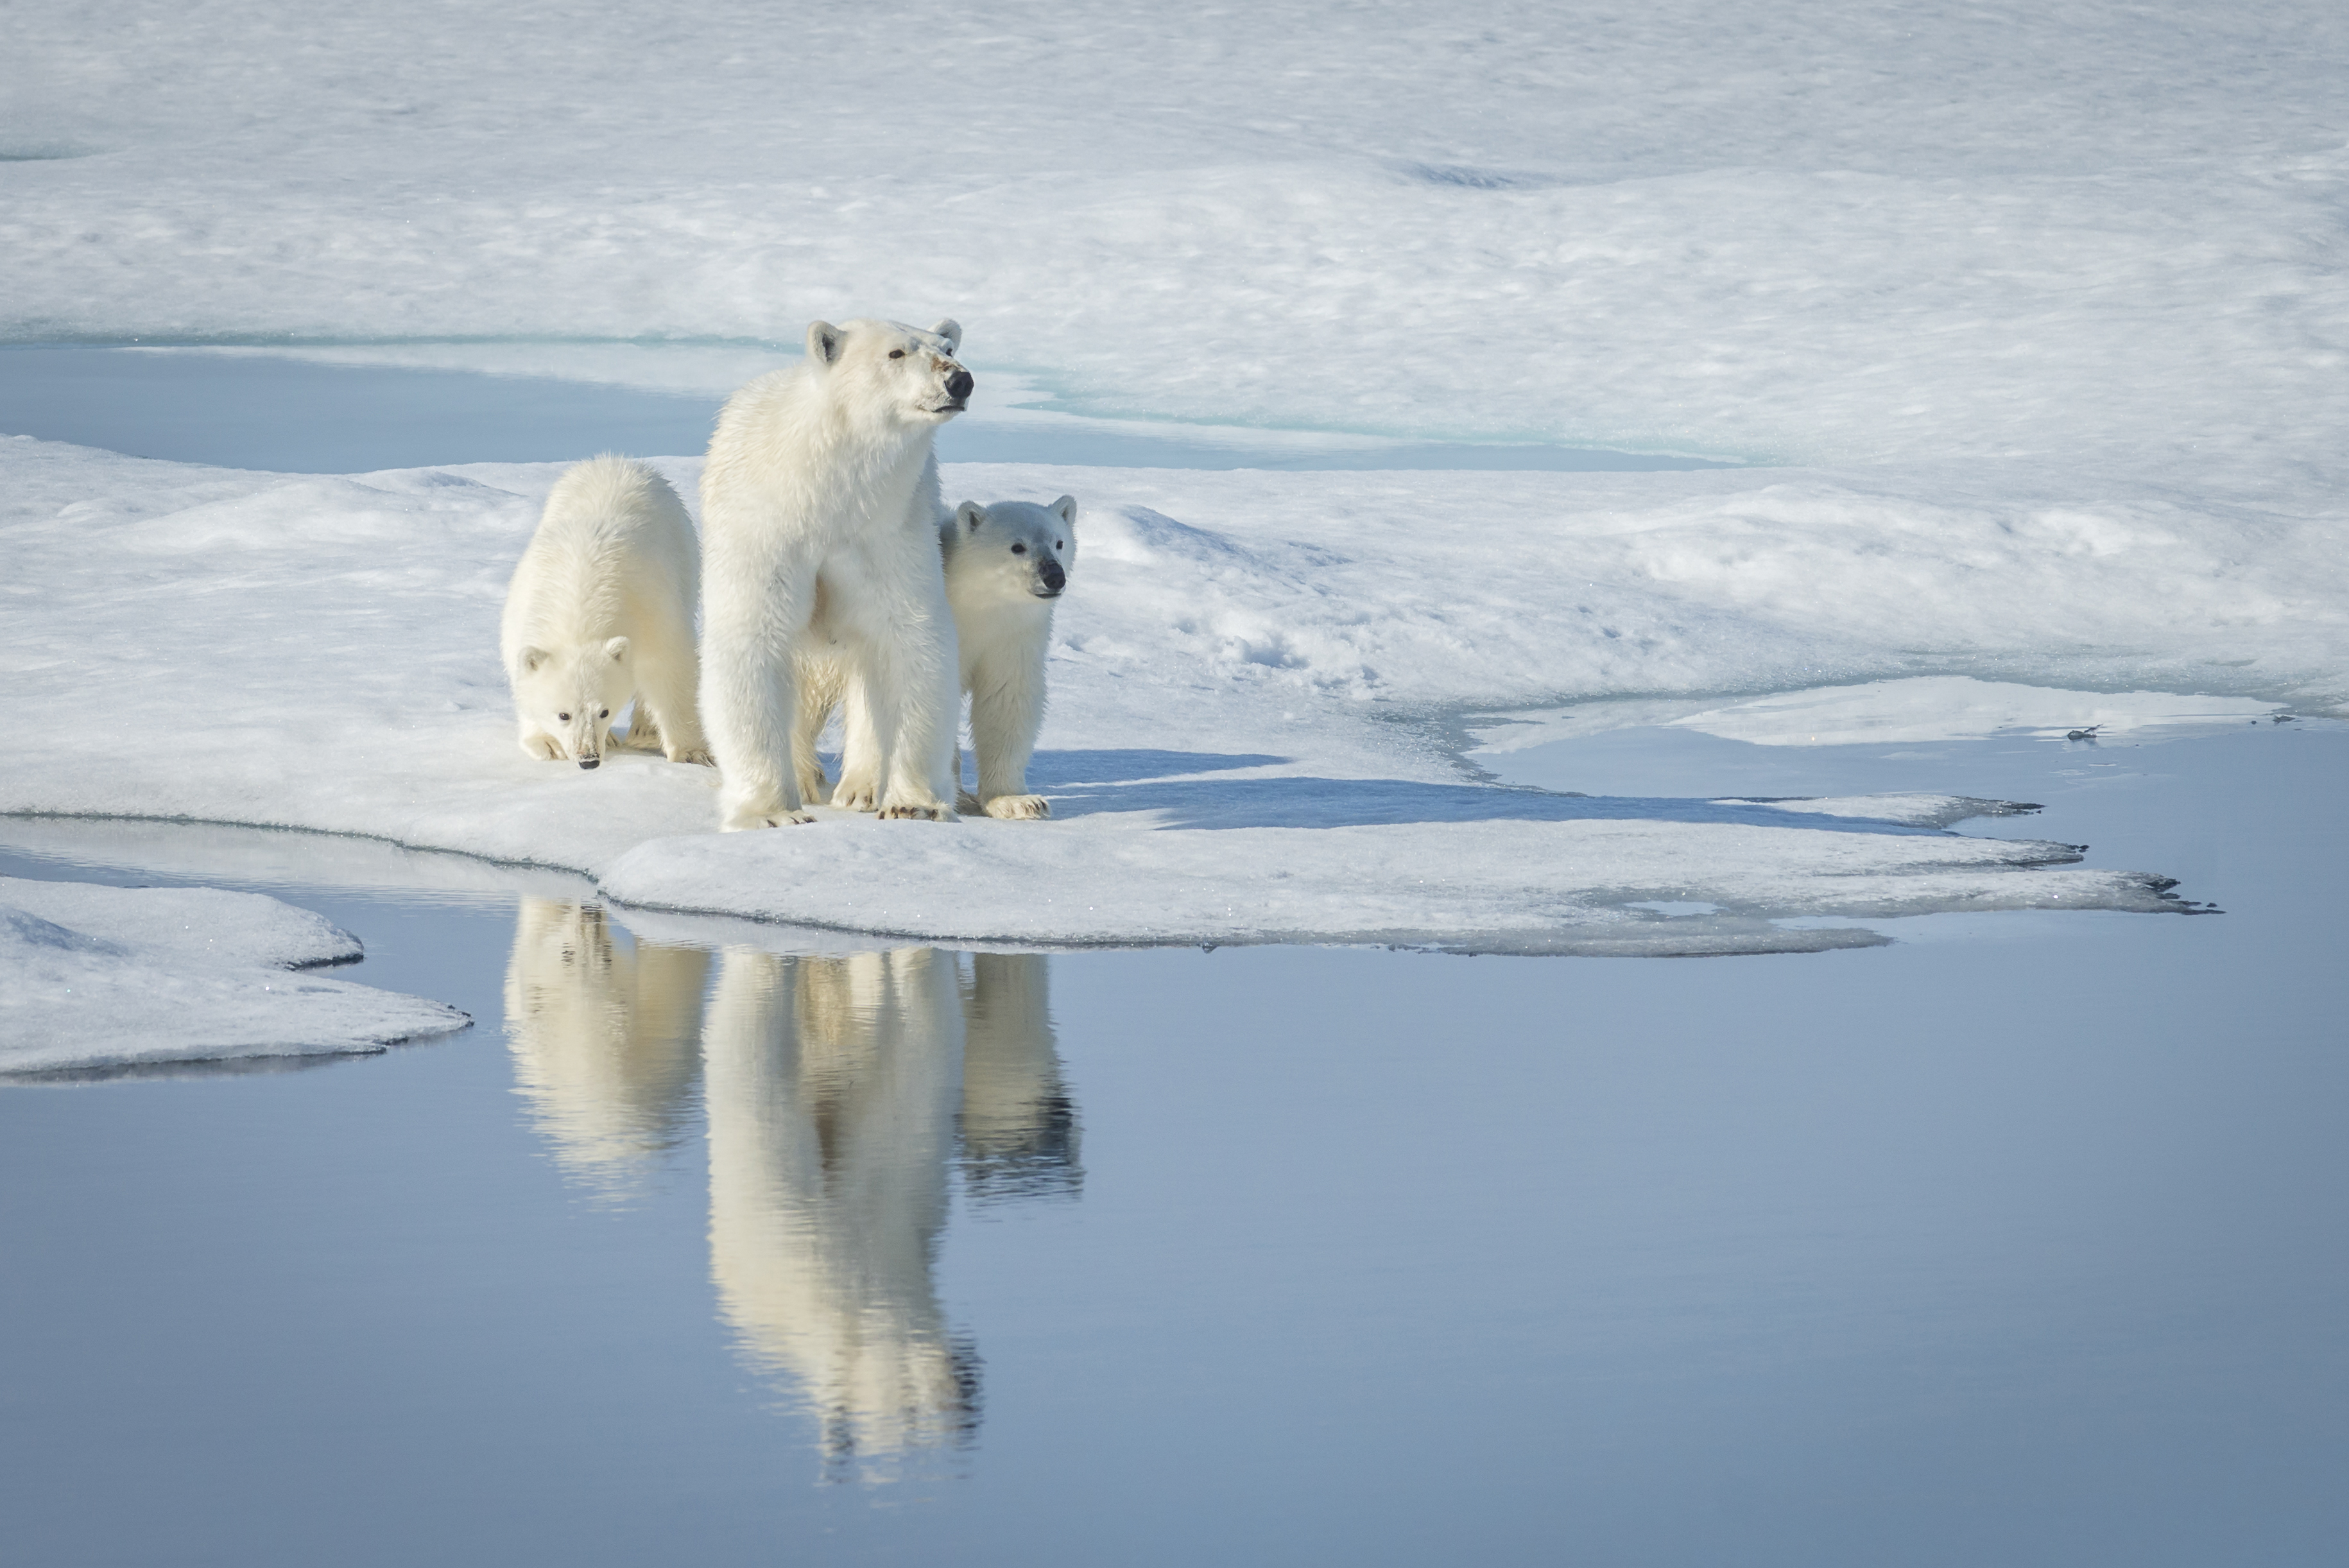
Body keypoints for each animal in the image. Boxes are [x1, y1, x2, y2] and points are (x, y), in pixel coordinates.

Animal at [503, 453, 705, 771]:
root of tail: (616, 461)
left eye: (605, 711)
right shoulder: (524, 609)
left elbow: (671, 666)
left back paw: (645, 730)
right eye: (564, 715)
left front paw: (691, 753)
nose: (589, 760)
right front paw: (547, 743)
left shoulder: (651, 607)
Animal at [705, 320, 981, 832]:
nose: (959, 380)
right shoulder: (766, 527)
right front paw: (772, 813)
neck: (829, 491)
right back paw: (806, 777)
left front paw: (912, 803)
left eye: (948, 348)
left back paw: (860, 787)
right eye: (896, 353)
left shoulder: (890, 532)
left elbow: (912, 639)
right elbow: (754, 639)